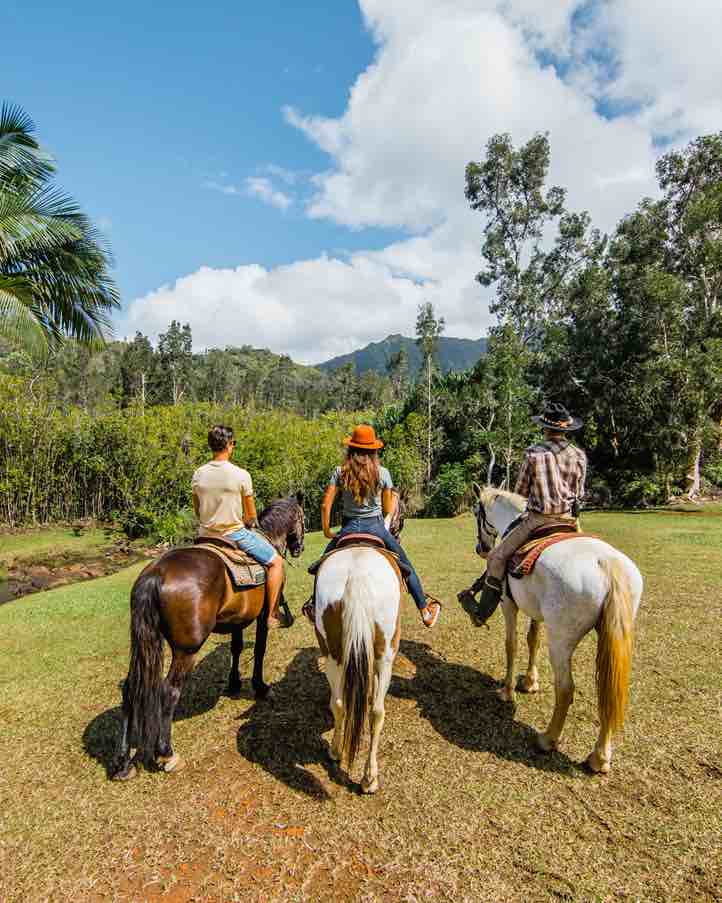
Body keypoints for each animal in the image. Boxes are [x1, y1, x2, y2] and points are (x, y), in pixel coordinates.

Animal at [109, 490, 304, 780]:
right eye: (302, 517)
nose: (299, 547)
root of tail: (155, 574)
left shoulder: (237, 620)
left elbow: (236, 648)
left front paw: (234, 683)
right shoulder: (259, 617)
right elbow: (259, 649)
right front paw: (260, 686)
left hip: (146, 641)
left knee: (131, 687)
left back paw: (123, 763)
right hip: (187, 649)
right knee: (169, 691)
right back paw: (166, 754)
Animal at [312, 544, 400, 792]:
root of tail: (357, 575)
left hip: (332, 653)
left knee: (339, 703)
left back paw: (335, 751)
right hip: (386, 655)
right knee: (377, 713)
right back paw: (369, 778)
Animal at [470, 488, 644, 776]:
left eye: (476, 512)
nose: (481, 549)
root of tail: (607, 565)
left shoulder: (509, 604)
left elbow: (512, 644)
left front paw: (507, 691)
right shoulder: (537, 612)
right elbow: (533, 641)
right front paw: (529, 682)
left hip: (561, 641)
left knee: (565, 688)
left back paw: (548, 739)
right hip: (614, 639)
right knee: (609, 691)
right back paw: (600, 757)